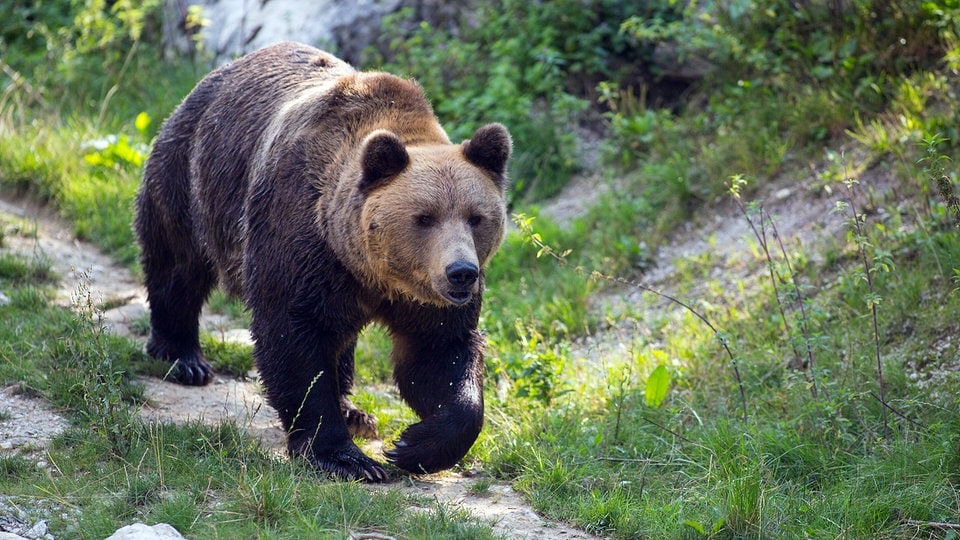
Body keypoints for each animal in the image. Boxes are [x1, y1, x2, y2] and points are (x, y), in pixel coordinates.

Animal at [134, 42, 511, 482]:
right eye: (424, 218)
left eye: (476, 217)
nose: (461, 274)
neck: (372, 271)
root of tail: (219, 74)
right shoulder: (299, 237)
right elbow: (293, 338)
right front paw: (345, 457)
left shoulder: (420, 297)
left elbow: (440, 354)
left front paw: (413, 445)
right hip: (193, 175)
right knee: (178, 265)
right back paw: (183, 357)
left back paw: (355, 412)